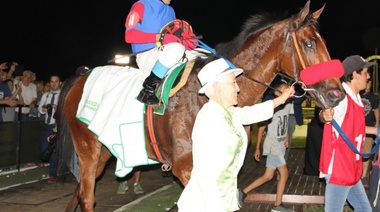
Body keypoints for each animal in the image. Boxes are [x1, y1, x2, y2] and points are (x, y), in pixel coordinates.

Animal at [55, 1, 344, 210]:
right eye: (309, 43)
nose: (336, 94)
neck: (207, 94)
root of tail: (81, 77)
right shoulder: (187, 169)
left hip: (103, 152)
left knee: (83, 192)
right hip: (88, 151)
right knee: (88, 197)